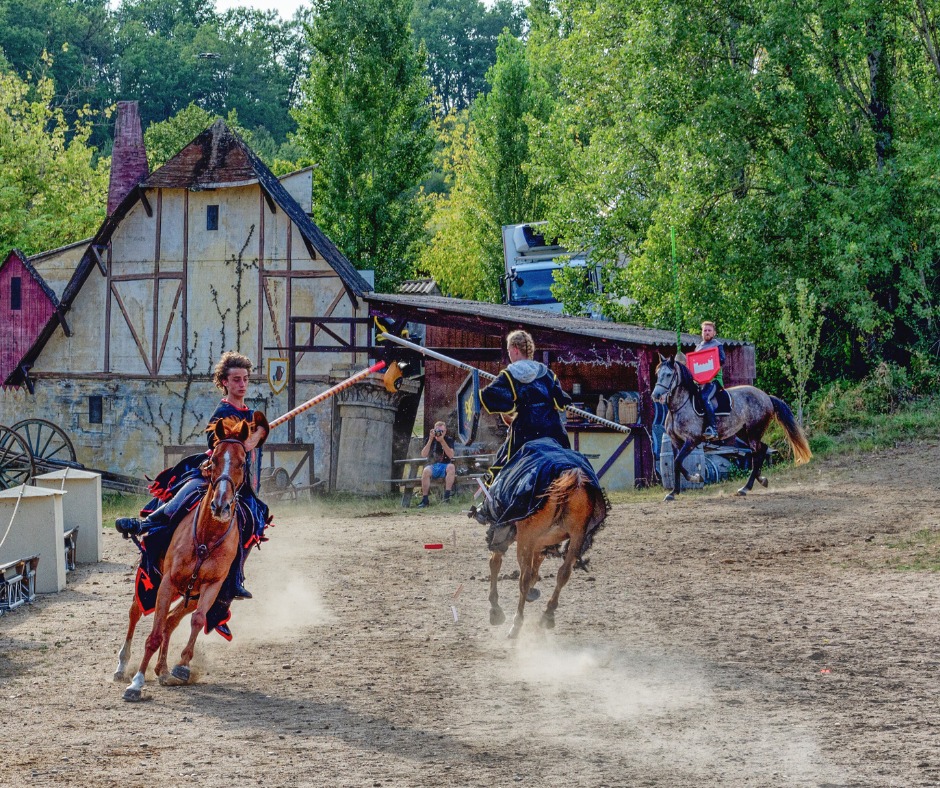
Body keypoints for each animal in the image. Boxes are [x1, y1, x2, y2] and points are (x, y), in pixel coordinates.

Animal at [121, 416, 260, 700]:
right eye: (214, 459)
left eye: (242, 462)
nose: (221, 505)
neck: (207, 535)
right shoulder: (167, 582)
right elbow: (153, 634)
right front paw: (136, 683)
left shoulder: (212, 586)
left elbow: (195, 620)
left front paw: (182, 666)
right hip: (154, 579)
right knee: (135, 612)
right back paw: (122, 666)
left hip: (189, 594)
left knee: (171, 622)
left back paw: (163, 670)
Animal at [488, 468, 604, 640]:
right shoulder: (542, 544)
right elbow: (535, 573)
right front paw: (532, 593)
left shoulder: (508, 535)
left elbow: (495, 563)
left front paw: (495, 608)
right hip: (576, 538)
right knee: (563, 574)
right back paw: (548, 614)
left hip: (525, 539)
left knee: (524, 578)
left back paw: (517, 623)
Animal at [652, 356, 808, 502]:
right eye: (657, 373)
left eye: (668, 374)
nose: (656, 395)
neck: (678, 407)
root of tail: (766, 397)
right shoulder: (674, 442)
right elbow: (676, 464)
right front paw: (673, 492)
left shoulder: (692, 440)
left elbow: (678, 462)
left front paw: (695, 478)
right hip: (745, 433)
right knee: (761, 450)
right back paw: (760, 480)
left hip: (753, 432)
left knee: (758, 453)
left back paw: (745, 488)